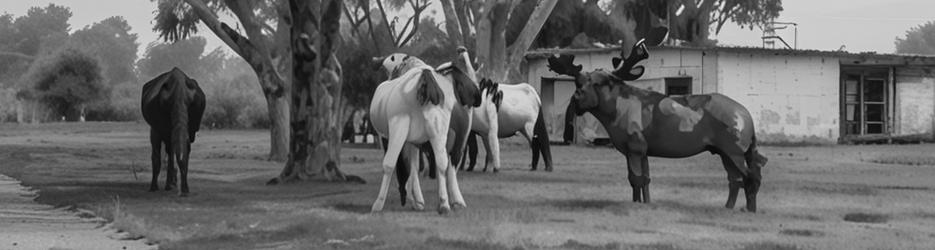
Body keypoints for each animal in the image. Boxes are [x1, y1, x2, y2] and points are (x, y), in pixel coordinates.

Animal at [370, 49, 478, 214]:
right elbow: (416, 166)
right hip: (445, 131)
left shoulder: (401, 134)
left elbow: (405, 165)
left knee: (390, 163)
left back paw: (378, 204)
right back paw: (447, 203)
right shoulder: (416, 141)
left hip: (400, 127)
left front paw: (415, 200)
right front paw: (418, 200)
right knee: (445, 163)